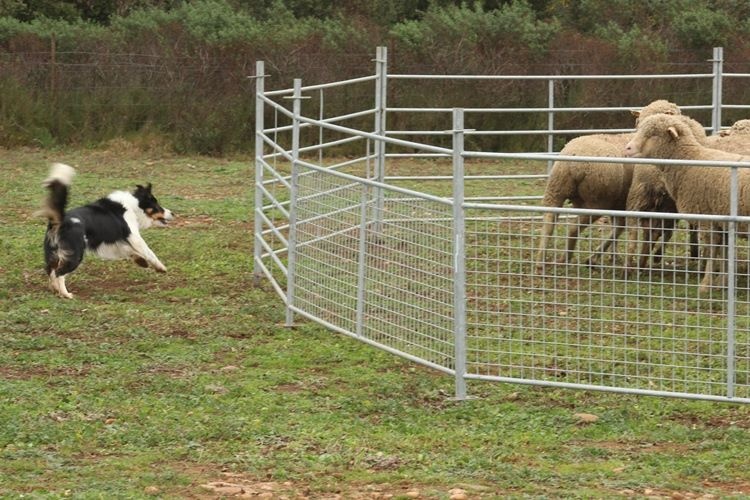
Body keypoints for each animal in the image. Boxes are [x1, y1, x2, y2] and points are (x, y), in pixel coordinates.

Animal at [42, 163, 175, 296]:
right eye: (157, 206)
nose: (173, 213)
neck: (134, 205)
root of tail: (61, 221)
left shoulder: (113, 242)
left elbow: (127, 250)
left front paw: (140, 261)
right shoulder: (133, 236)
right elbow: (148, 251)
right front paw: (160, 267)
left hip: (53, 253)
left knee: (50, 270)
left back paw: (55, 289)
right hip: (75, 254)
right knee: (59, 273)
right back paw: (66, 294)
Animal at [624, 112, 750, 292]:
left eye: (654, 134)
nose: (627, 148)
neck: (691, 160)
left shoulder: (707, 217)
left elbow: (713, 249)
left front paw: (705, 285)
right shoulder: (722, 218)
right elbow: (726, 252)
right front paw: (722, 282)